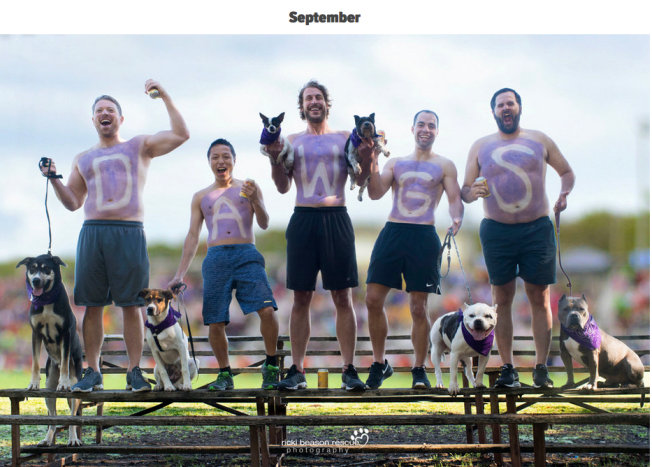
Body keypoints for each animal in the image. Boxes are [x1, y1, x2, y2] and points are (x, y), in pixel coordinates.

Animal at [16, 254, 82, 448]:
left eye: (46, 269)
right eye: (32, 269)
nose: (36, 280)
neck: (46, 301)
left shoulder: (65, 333)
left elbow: (66, 361)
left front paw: (64, 383)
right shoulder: (35, 333)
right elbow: (35, 361)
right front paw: (33, 383)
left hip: (75, 388)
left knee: (72, 417)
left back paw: (73, 439)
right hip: (49, 390)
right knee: (52, 418)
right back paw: (47, 439)